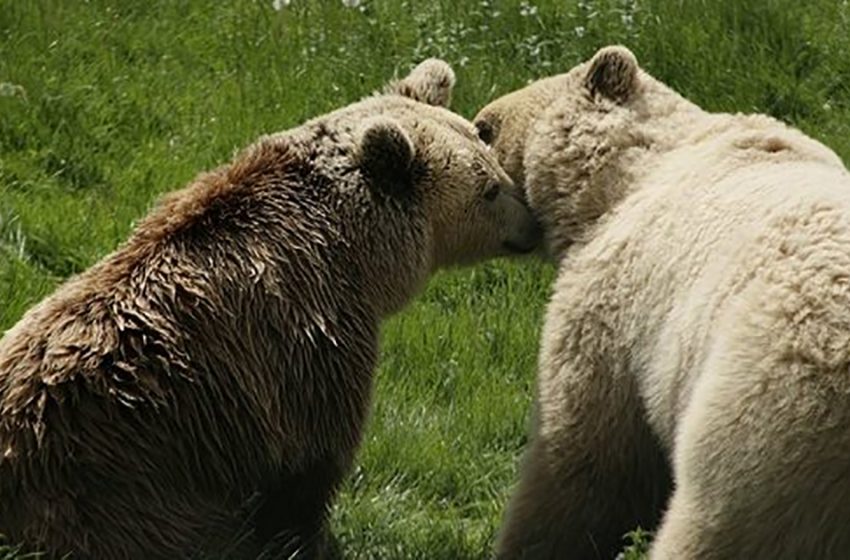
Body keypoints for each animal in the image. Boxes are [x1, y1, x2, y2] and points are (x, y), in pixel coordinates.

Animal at [0, 59, 540, 556]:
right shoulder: (305, 344)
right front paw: (312, 537)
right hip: (115, 495)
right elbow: (310, 465)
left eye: (495, 164)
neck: (356, 254)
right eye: (490, 189)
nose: (533, 223)